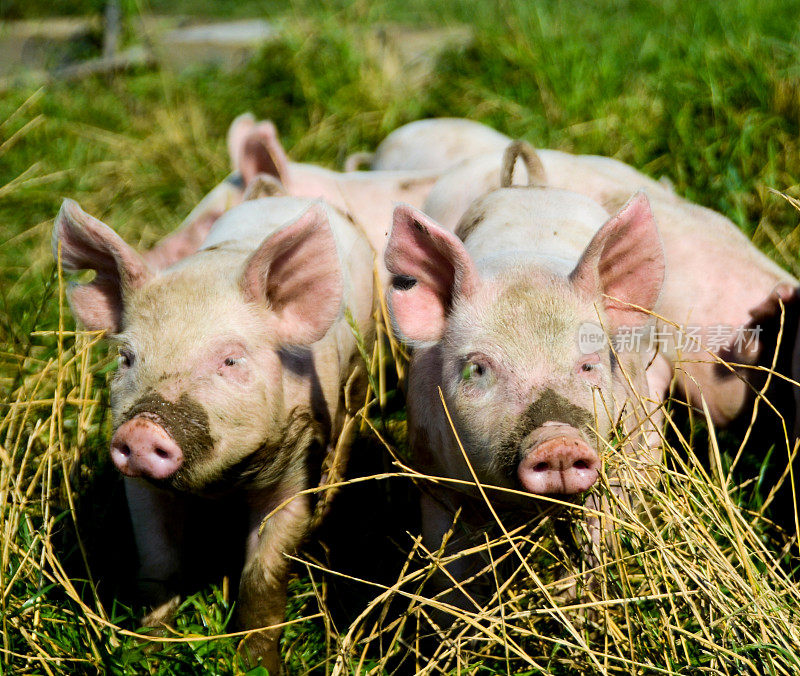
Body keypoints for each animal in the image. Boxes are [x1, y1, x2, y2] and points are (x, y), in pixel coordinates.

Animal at [53, 195, 376, 672]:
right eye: (127, 358)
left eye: (230, 360)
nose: (142, 426)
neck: (221, 486)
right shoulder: (141, 489)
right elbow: (158, 561)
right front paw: (147, 651)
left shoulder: (297, 465)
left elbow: (264, 573)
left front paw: (255, 665)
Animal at [384, 189, 664, 604]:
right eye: (478, 369)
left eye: (588, 365)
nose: (557, 441)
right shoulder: (434, 480)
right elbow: (450, 571)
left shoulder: (613, 474)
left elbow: (597, 543)